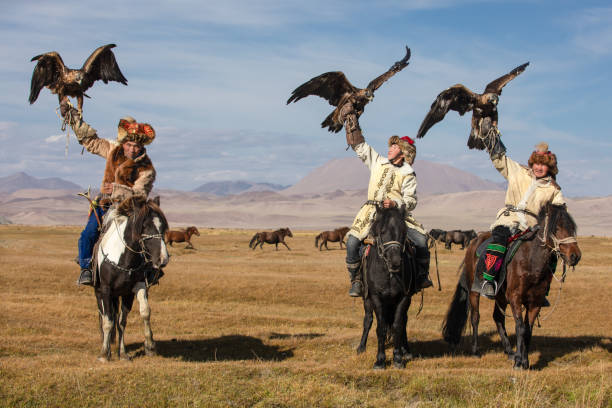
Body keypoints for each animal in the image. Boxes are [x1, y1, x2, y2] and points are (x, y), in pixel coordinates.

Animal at [93, 196, 170, 362]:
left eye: (162, 226)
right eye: (144, 226)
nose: (163, 259)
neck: (124, 258)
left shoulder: (134, 288)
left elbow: (136, 315)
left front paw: (147, 347)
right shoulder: (106, 290)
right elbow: (108, 321)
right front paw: (104, 354)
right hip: (98, 292)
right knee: (103, 316)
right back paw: (106, 346)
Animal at [356, 206, 418, 368]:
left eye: (403, 231)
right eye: (382, 231)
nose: (395, 261)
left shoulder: (404, 297)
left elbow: (397, 326)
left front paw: (398, 358)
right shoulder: (376, 297)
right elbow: (381, 328)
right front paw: (380, 361)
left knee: (404, 322)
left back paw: (406, 350)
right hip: (367, 299)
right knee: (368, 320)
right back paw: (361, 347)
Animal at [442, 204, 580, 370]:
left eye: (572, 228)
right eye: (556, 228)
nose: (575, 256)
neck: (532, 261)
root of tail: (474, 242)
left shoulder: (536, 302)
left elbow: (528, 329)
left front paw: (524, 361)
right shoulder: (515, 298)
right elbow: (520, 327)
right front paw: (519, 362)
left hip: (500, 296)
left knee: (498, 317)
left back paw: (509, 351)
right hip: (474, 292)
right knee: (475, 317)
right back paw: (476, 351)